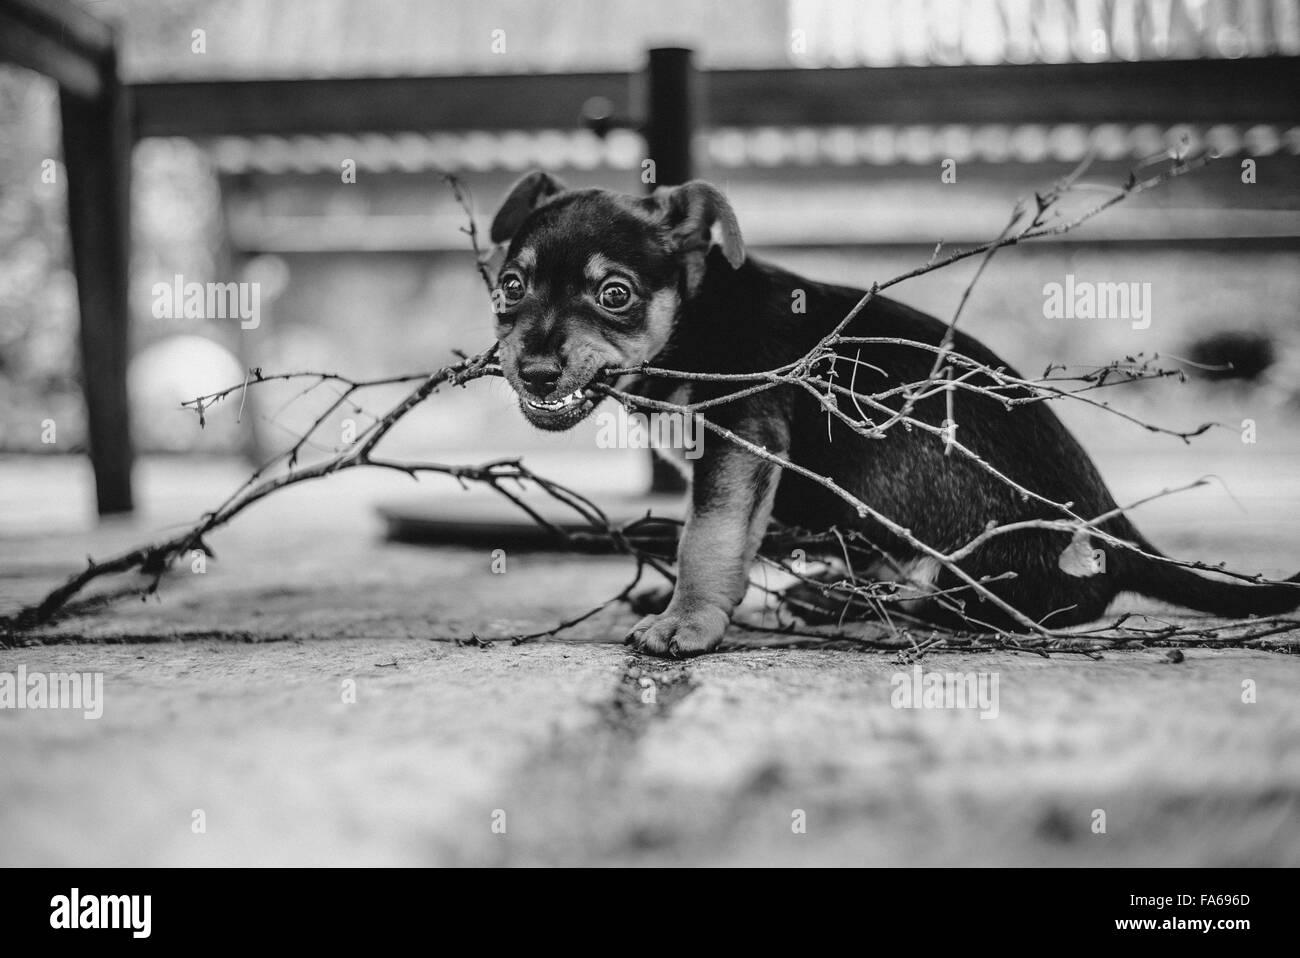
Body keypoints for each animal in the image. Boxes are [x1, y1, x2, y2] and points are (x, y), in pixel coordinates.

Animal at [488, 167, 1300, 655]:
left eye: (614, 294)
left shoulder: (744, 434)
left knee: (968, 606)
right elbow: (742, 538)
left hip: (960, 559)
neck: (691, 316)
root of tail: (1119, 536)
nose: (533, 369)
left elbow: (708, 538)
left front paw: (688, 621)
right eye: (509, 288)